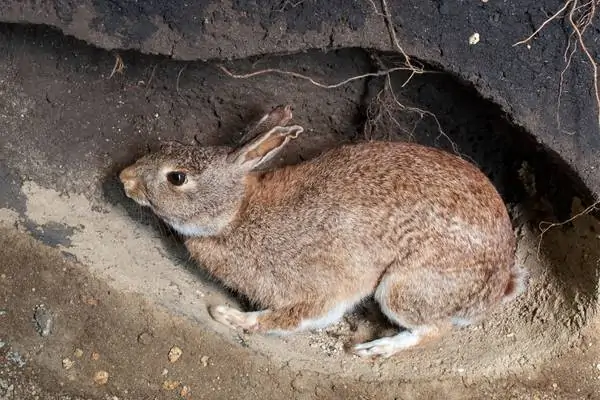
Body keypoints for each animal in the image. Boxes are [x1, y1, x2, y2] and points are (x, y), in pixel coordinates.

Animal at [119, 104, 528, 358]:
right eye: (168, 145)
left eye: (176, 178)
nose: (125, 178)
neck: (236, 215)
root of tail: (498, 284)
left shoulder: (321, 289)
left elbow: (294, 317)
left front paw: (231, 317)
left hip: (404, 287)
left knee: (434, 329)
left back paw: (376, 349)